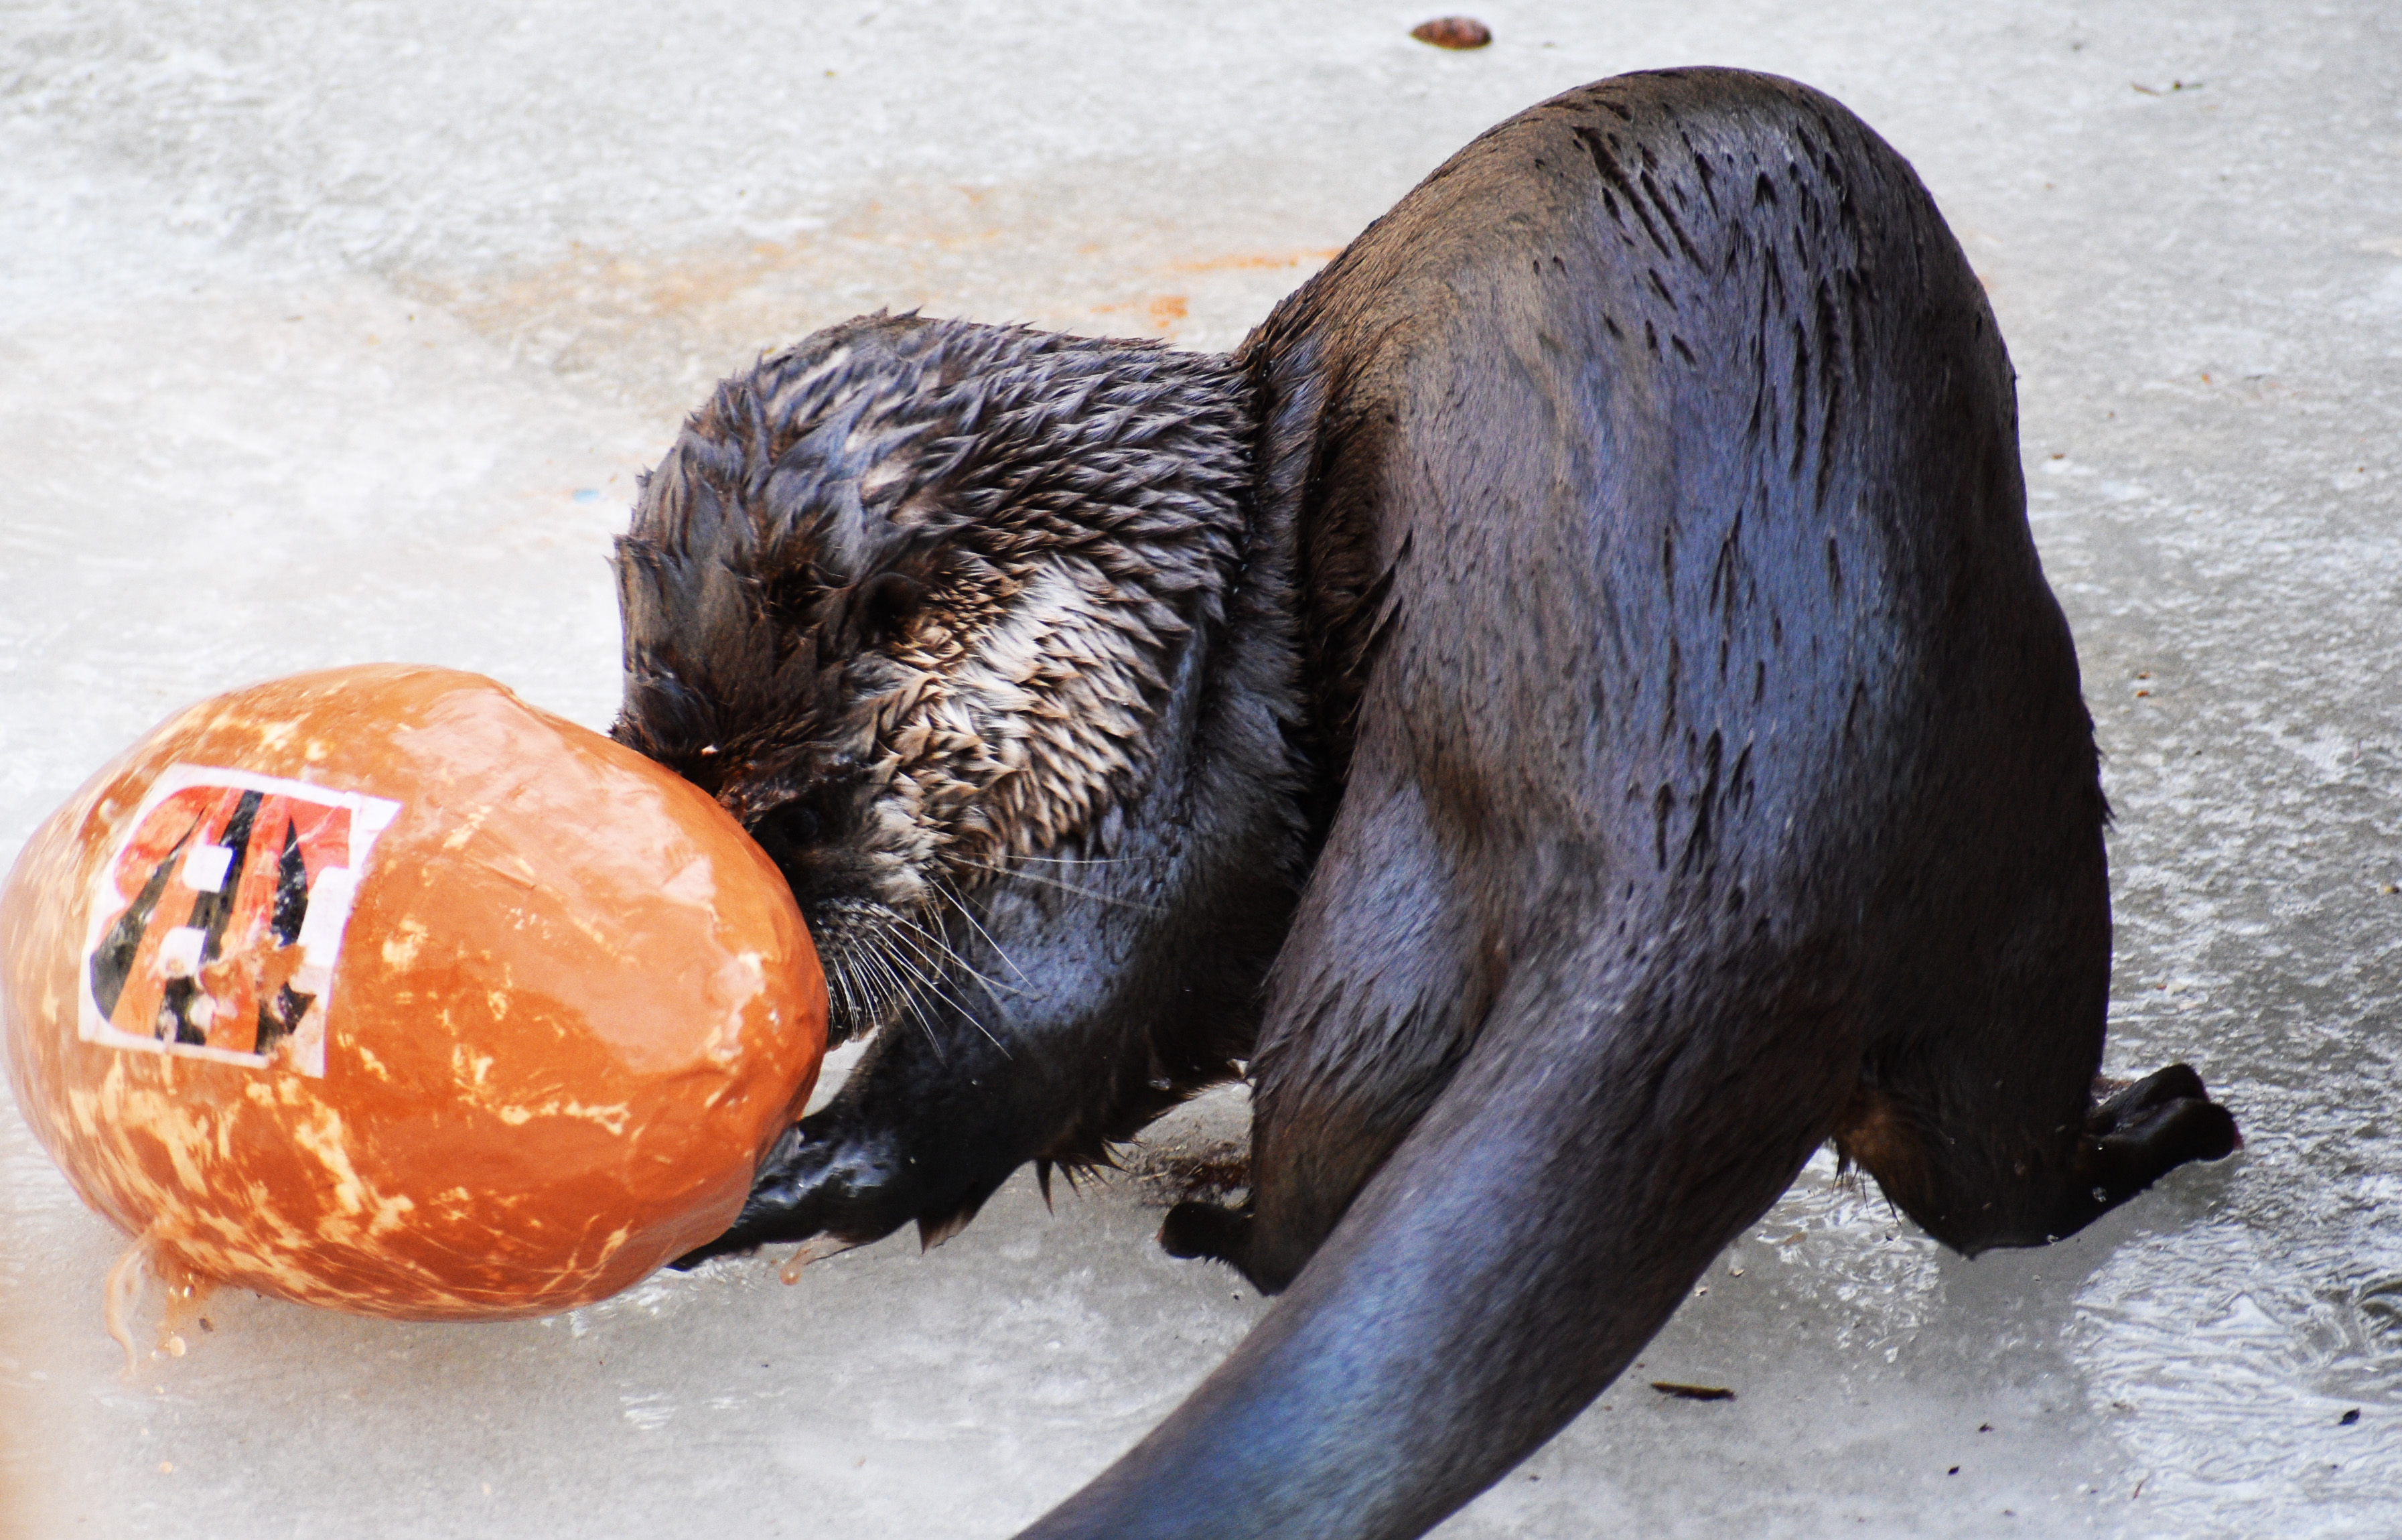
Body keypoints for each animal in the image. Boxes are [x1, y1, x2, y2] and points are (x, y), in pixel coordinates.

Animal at [615, 66, 2229, 1528]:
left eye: (802, 800)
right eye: (667, 771)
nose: (796, 961)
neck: (1143, 589)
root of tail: (1732, 789)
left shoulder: (1182, 734)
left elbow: (1058, 1007)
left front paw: (796, 1171)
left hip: (1407, 875)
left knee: (1320, 1162)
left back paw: (1206, 1213)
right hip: (2022, 848)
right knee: (1995, 1182)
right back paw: (2156, 1127)